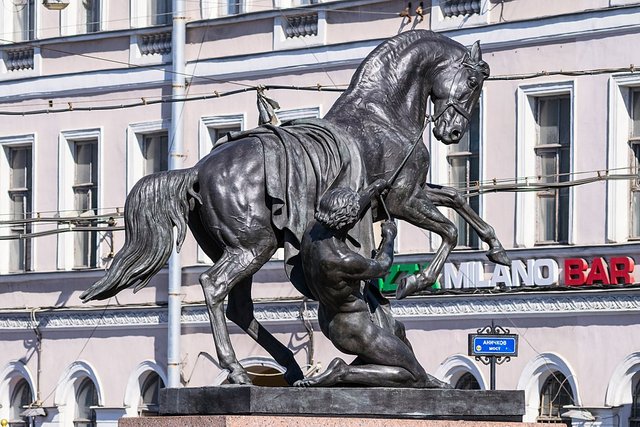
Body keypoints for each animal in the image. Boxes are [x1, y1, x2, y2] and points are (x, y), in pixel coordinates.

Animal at [81, 31, 510, 388]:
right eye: (473, 83)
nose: (452, 132)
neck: (382, 114)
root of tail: (198, 170)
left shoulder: (411, 193)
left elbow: (456, 199)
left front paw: (496, 249)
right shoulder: (402, 198)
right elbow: (449, 231)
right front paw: (413, 282)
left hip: (238, 247)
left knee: (240, 306)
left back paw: (291, 368)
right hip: (252, 246)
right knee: (214, 287)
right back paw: (239, 371)